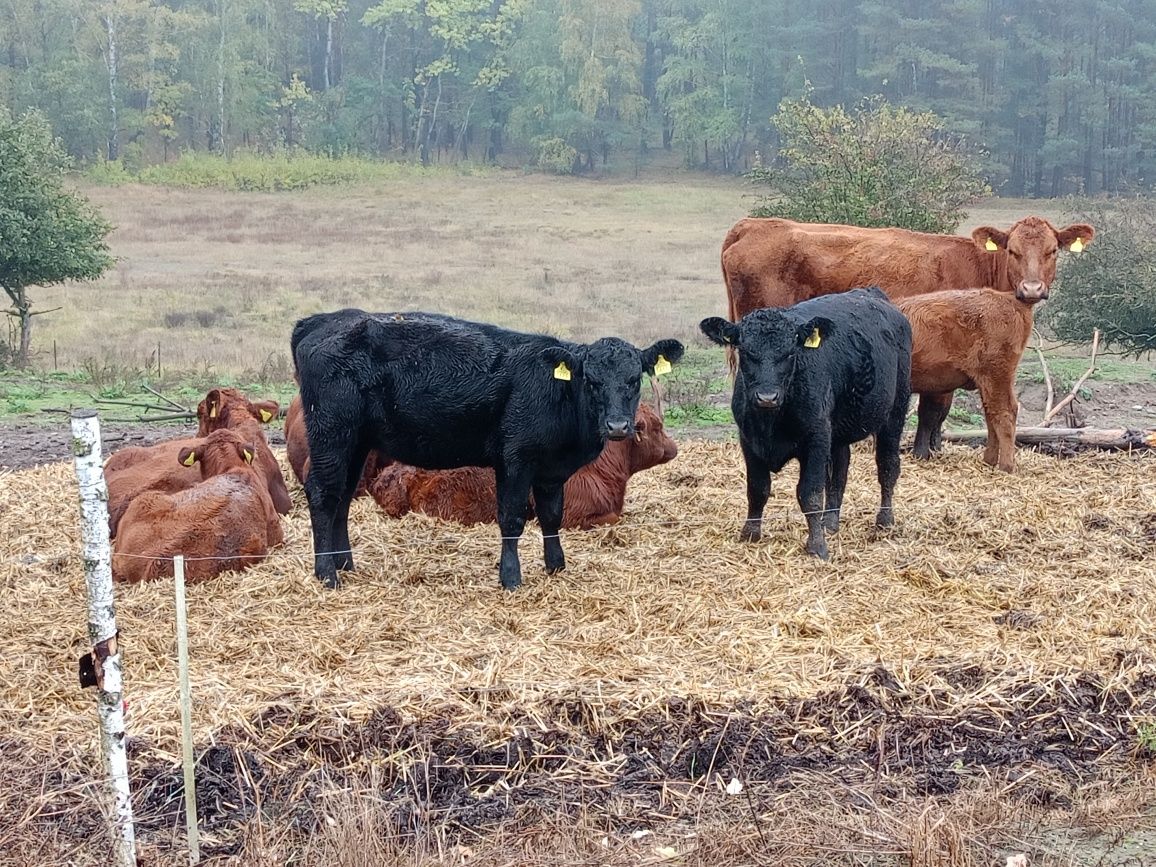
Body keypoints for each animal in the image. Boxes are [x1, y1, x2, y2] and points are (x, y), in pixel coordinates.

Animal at [698, 290, 915, 564]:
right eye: (745, 352)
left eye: (790, 353)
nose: (767, 397)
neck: (770, 424)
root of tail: (870, 293)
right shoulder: (748, 439)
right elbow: (757, 489)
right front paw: (750, 533)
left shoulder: (816, 439)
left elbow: (810, 494)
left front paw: (817, 545)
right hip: (837, 431)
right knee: (839, 473)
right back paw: (830, 522)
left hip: (894, 412)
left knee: (887, 466)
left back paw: (884, 520)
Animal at [892, 289, 1040, 471]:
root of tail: (1009, 299)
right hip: (987, 383)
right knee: (992, 415)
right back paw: (989, 460)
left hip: (997, 377)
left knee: (1005, 413)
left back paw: (1005, 467)